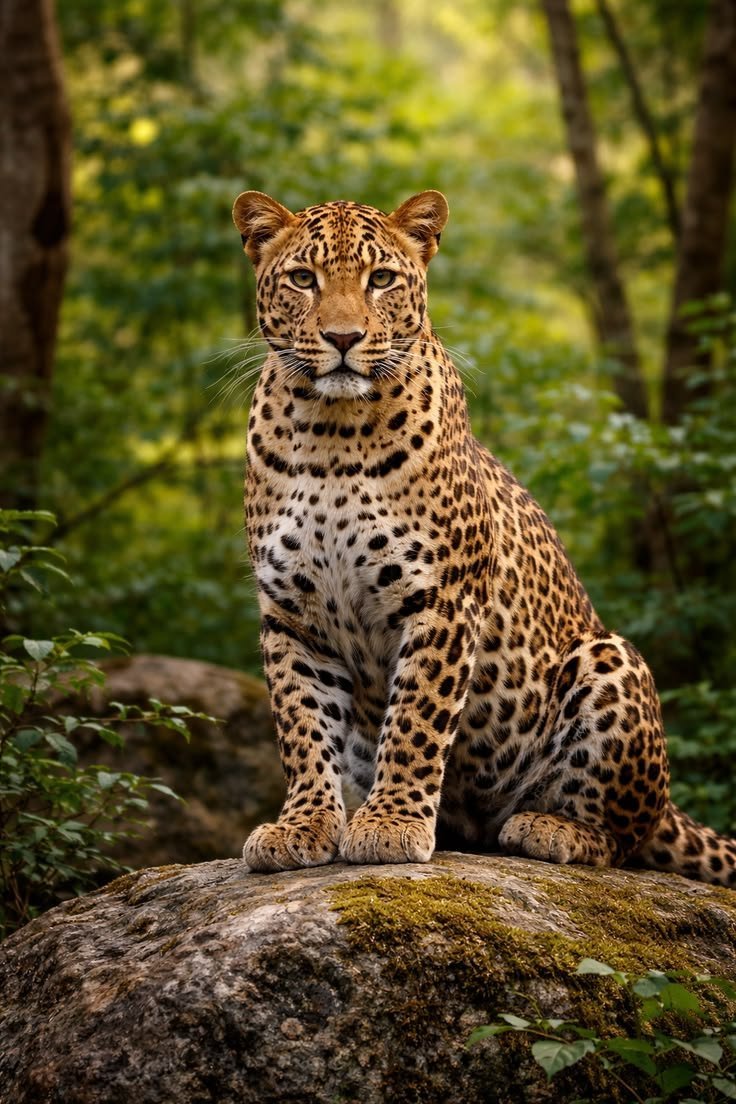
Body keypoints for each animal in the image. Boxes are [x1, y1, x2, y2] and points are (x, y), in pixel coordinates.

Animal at [231, 186, 736, 887]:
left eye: (380, 279)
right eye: (304, 280)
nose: (343, 337)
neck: (330, 431)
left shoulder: (441, 599)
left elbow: (416, 719)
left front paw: (391, 823)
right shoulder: (290, 614)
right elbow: (302, 727)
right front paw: (302, 826)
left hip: (609, 660)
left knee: (622, 838)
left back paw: (549, 829)